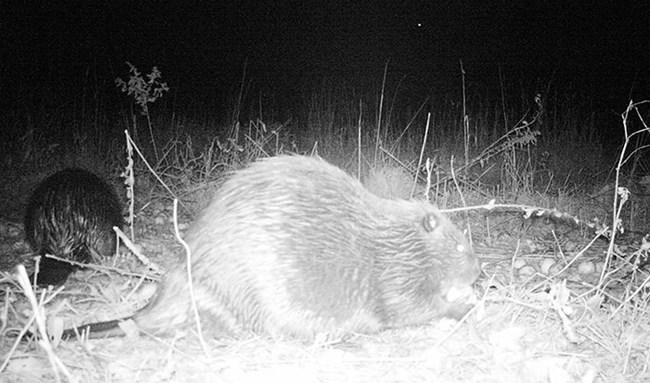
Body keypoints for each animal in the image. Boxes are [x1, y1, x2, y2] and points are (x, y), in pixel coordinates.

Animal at [59, 156, 476, 342]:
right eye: (458, 247)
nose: (480, 272)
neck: (392, 242)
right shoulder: (393, 278)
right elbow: (407, 308)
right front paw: (466, 303)